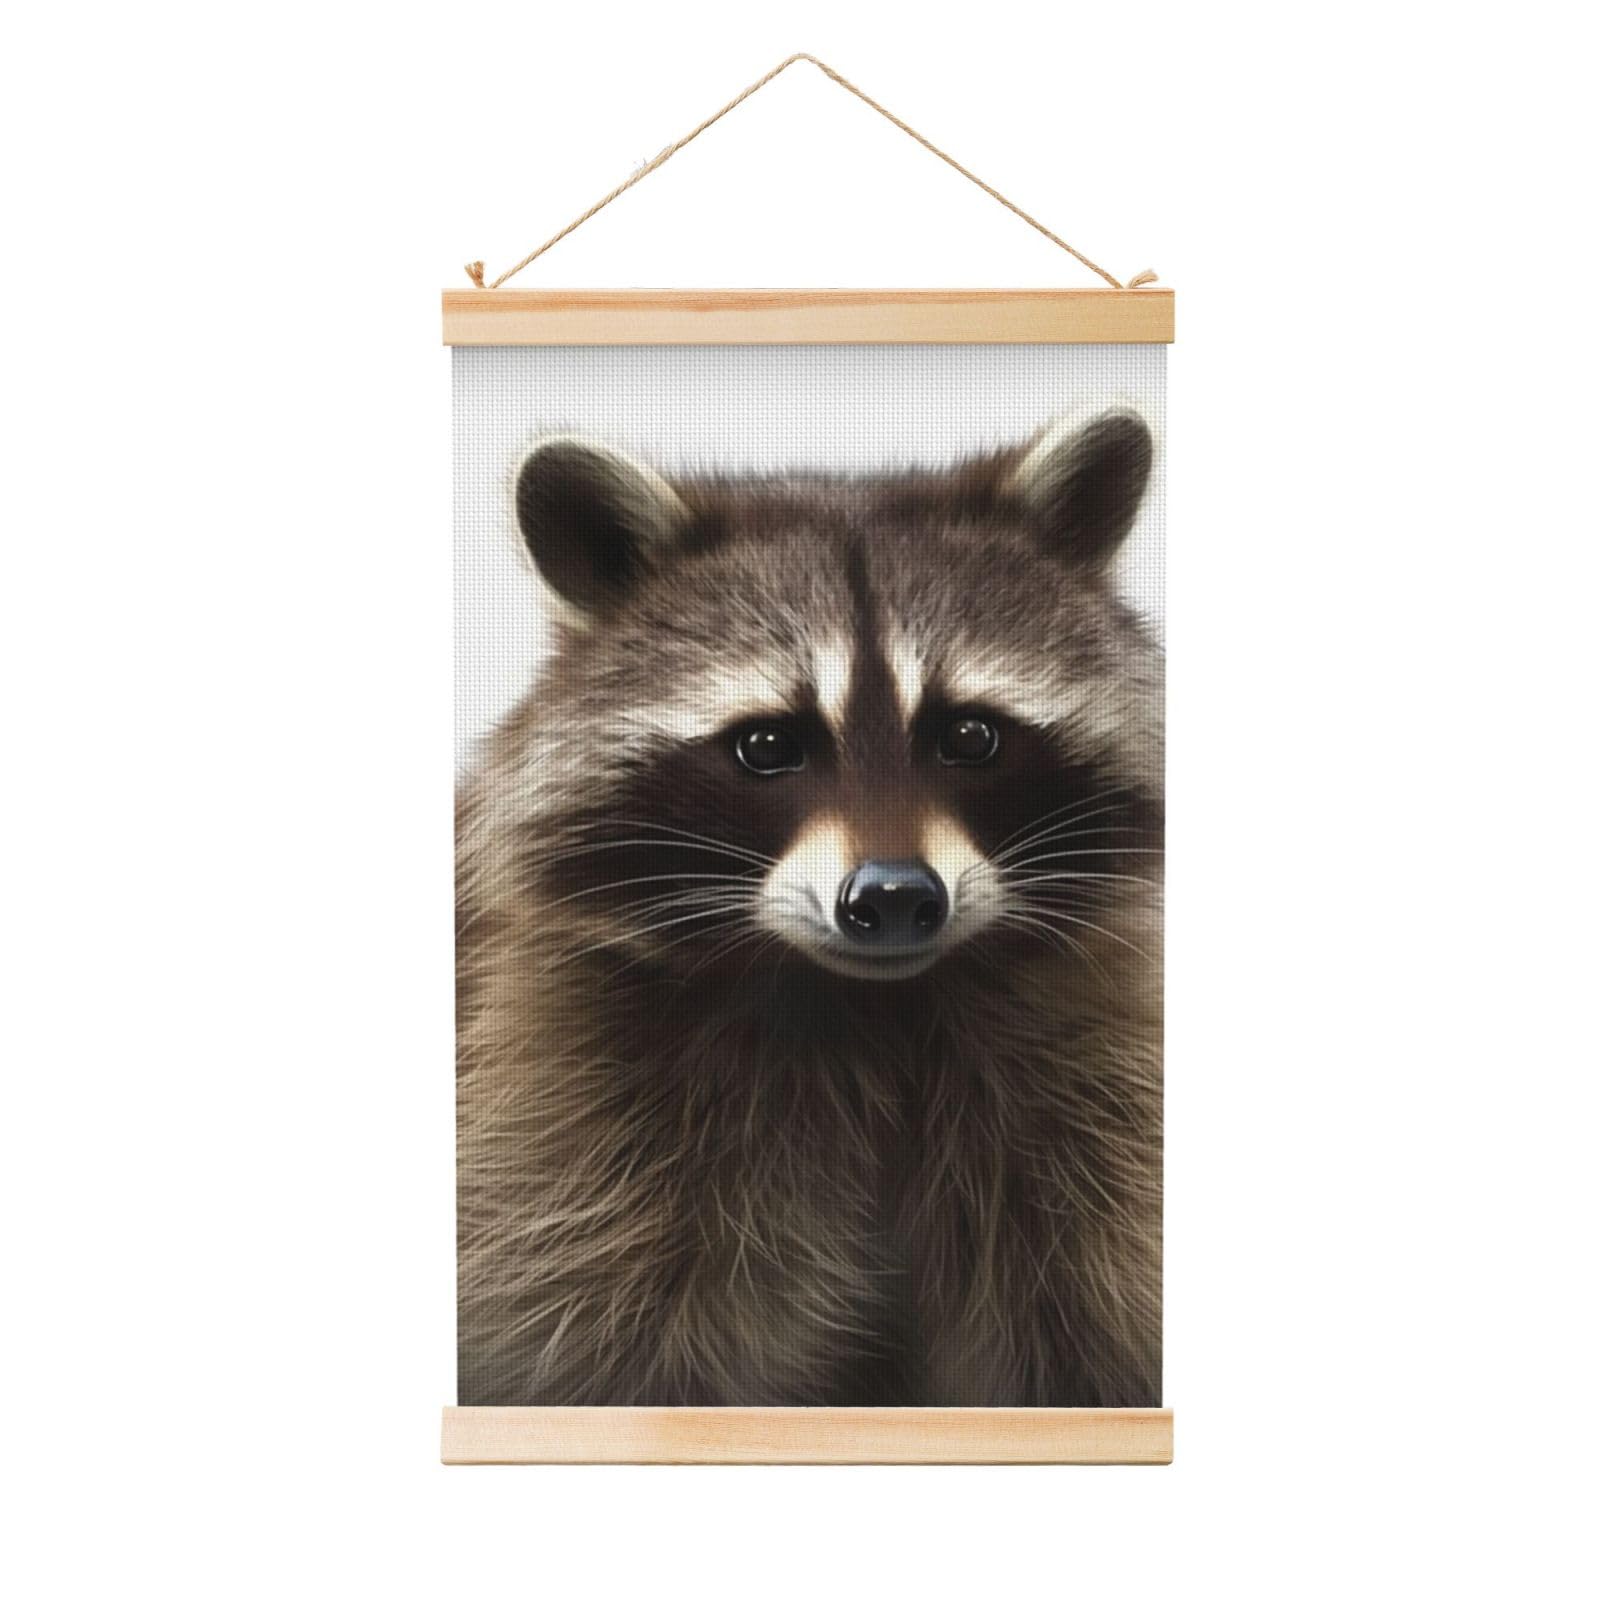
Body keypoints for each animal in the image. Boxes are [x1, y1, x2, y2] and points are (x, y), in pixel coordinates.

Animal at [457, 409, 1163, 1407]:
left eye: (970, 734)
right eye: (766, 745)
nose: (896, 897)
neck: (874, 1007)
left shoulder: (1088, 1088)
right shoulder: (565, 1108)